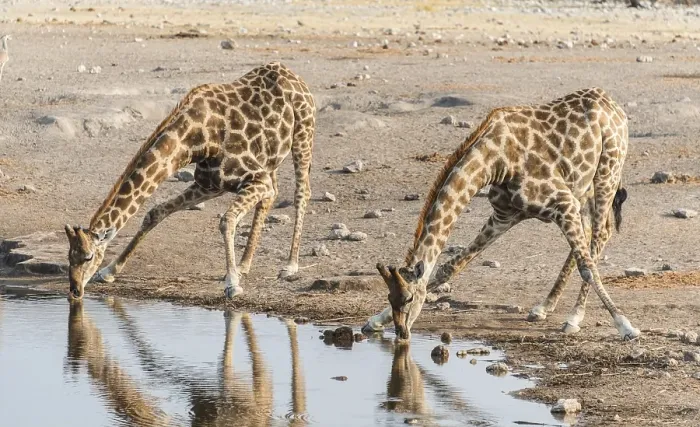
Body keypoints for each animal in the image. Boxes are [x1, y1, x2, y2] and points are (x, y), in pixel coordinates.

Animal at [64, 62, 315, 300]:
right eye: (69, 256)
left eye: (88, 257)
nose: (75, 290)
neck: (194, 140)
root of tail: (292, 75)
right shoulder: (209, 184)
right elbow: (155, 212)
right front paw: (110, 271)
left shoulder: (255, 178)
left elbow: (227, 220)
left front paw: (232, 284)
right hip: (271, 158)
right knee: (271, 196)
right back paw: (244, 265)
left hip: (303, 135)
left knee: (301, 193)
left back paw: (290, 266)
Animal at [362, 87, 640, 341]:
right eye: (390, 297)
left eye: (409, 298)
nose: (402, 333)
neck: (494, 162)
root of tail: (613, 104)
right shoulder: (504, 216)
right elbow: (449, 268)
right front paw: (374, 321)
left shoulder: (563, 203)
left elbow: (588, 267)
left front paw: (625, 326)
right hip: (582, 186)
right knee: (590, 235)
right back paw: (543, 307)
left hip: (607, 172)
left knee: (600, 235)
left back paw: (574, 316)